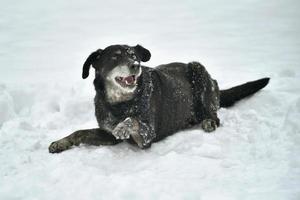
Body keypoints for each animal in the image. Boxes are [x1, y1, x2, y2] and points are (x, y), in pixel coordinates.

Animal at [48, 44, 270, 153]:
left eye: (133, 55)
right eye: (115, 57)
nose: (135, 65)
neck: (120, 103)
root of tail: (216, 84)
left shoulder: (146, 137)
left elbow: (133, 120)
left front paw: (123, 125)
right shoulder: (108, 135)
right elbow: (80, 132)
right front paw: (60, 143)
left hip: (198, 69)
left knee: (215, 116)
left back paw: (208, 122)